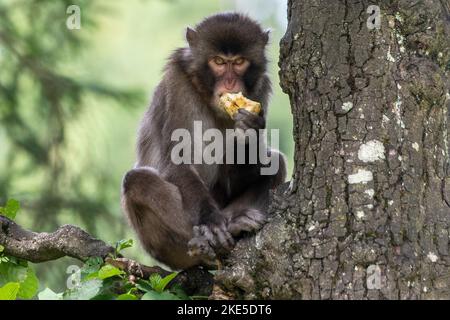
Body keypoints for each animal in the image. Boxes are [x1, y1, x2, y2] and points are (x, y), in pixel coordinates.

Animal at [121, 12, 286, 268]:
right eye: (218, 61)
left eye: (239, 62)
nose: (230, 83)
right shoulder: (176, 85)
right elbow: (178, 161)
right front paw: (210, 222)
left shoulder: (260, 90)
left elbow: (235, 179)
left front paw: (249, 130)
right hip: (164, 250)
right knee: (137, 181)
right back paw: (209, 241)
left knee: (276, 163)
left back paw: (236, 223)